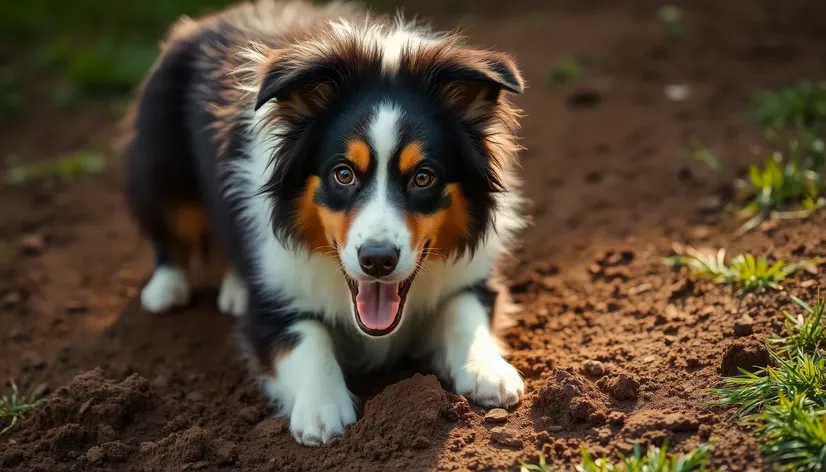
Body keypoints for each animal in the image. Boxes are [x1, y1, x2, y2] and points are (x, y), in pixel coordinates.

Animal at [120, 0, 528, 444]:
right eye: (343, 174)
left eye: (424, 177)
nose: (377, 260)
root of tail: (204, 21)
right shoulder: (273, 305)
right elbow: (305, 337)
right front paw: (321, 409)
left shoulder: (474, 276)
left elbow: (466, 309)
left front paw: (488, 371)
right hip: (161, 167)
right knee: (168, 226)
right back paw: (166, 288)